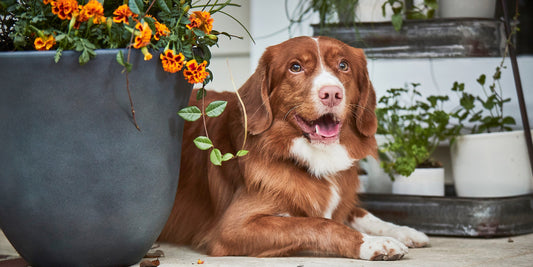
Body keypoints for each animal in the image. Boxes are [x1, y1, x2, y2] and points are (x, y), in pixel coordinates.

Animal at [159, 36, 428, 260]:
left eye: (343, 65)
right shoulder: (233, 228)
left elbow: (358, 212)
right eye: (295, 67)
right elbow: (318, 223)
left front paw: (403, 231)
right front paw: (373, 244)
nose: (332, 93)